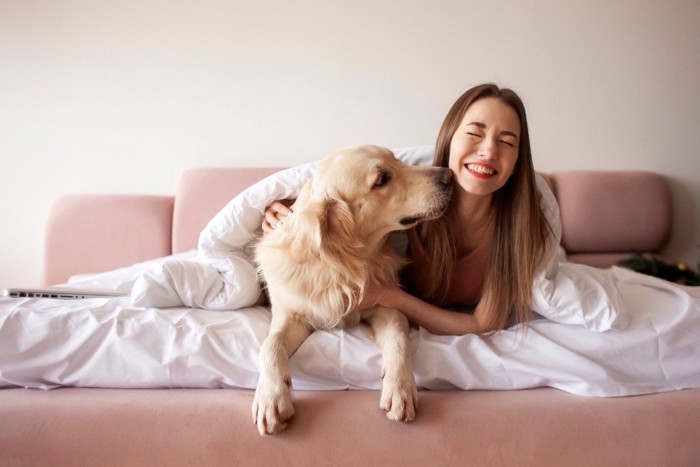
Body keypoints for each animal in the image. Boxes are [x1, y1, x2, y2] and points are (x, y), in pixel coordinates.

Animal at [252, 145, 454, 436]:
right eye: (381, 180)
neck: (344, 265)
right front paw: (271, 397)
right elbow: (270, 345)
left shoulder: (385, 304)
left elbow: (398, 335)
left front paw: (400, 387)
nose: (449, 175)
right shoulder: (292, 314)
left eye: (396, 158)